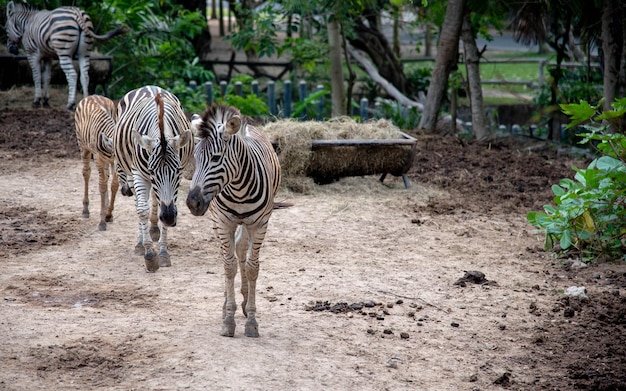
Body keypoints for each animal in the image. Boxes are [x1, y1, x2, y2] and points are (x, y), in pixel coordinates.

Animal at [73, 95, 119, 233]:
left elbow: (114, 185)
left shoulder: (113, 162)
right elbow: (102, 186)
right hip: (83, 146)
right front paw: (102, 221)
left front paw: (108, 214)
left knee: (106, 177)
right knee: (86, 173)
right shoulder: (99, 159)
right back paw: (85, 210)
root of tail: (91, 96)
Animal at [113, 86, 193, 272]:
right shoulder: (139, 173)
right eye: (151, 170)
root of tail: (148, 86)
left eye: (178, 171)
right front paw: (149, 254)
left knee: (157, 201)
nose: (170, 218)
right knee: (140, 204)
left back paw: (154, 229)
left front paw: (163, 252)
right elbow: (142, 209)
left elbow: (167, 206)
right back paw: (140, 242)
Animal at [186, 105, 282, 340]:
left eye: (216, 158)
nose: (192, 203)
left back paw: (245, 302)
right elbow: (229, 267)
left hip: (247, 224)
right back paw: (225, 304)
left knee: (240, 249)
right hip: (216, 220)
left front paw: (252, 321)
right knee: (228, 256)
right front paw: (228, 318)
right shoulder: (222, 223)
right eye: (195, 157)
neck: (238, 188)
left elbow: (252, 268)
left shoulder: (259, 224)